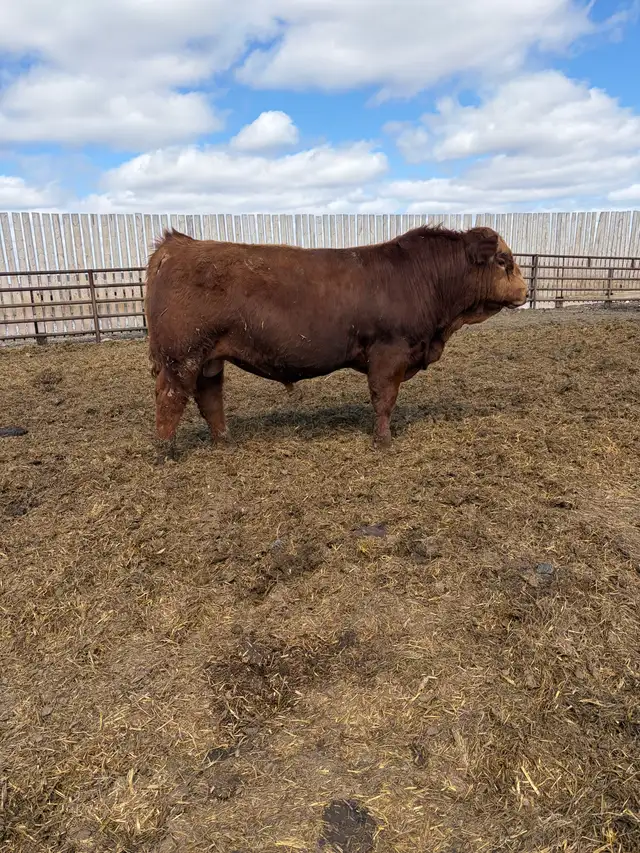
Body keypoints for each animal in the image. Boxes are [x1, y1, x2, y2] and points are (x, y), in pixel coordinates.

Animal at [145, 224, 528, 460]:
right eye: (503, 260)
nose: (526, 291)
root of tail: (178, 244)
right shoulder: (389, 352)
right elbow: (384, 399)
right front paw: (383, 442)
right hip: (182, 355)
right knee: (170, 397)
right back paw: (165, 452)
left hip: (209, 358)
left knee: (209, 398)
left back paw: (224, 442)